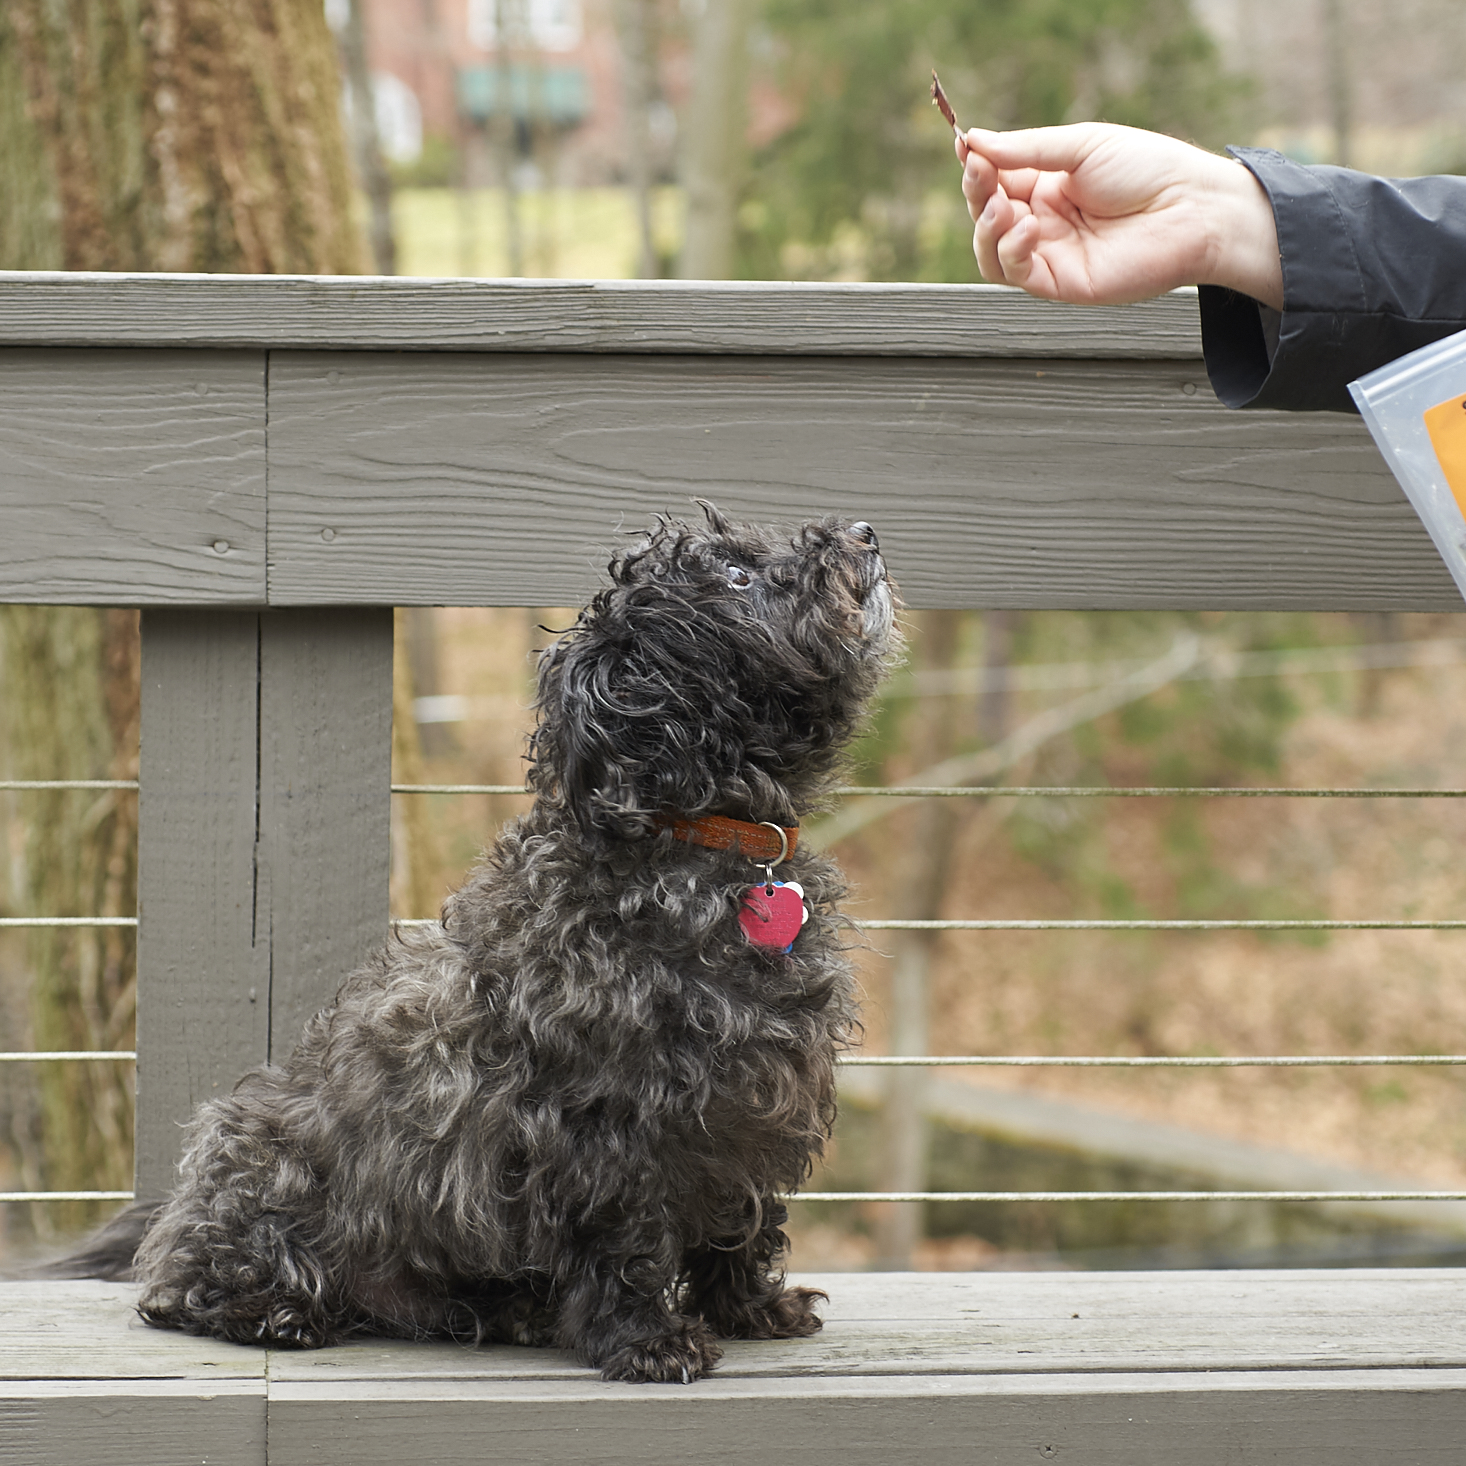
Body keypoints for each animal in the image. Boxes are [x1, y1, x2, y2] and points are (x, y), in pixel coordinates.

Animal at [60, 507, 891, 1383]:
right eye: (737, 576)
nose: (865, 533)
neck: (697, 845)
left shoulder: (753, 1111)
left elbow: (743, 1220)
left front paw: (752, 1310)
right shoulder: (609, 1125)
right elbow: (629, 1240)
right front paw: (647, 1341)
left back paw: (513, 1311)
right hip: (266, 1164)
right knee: (185, 1293)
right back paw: (279, 1314)